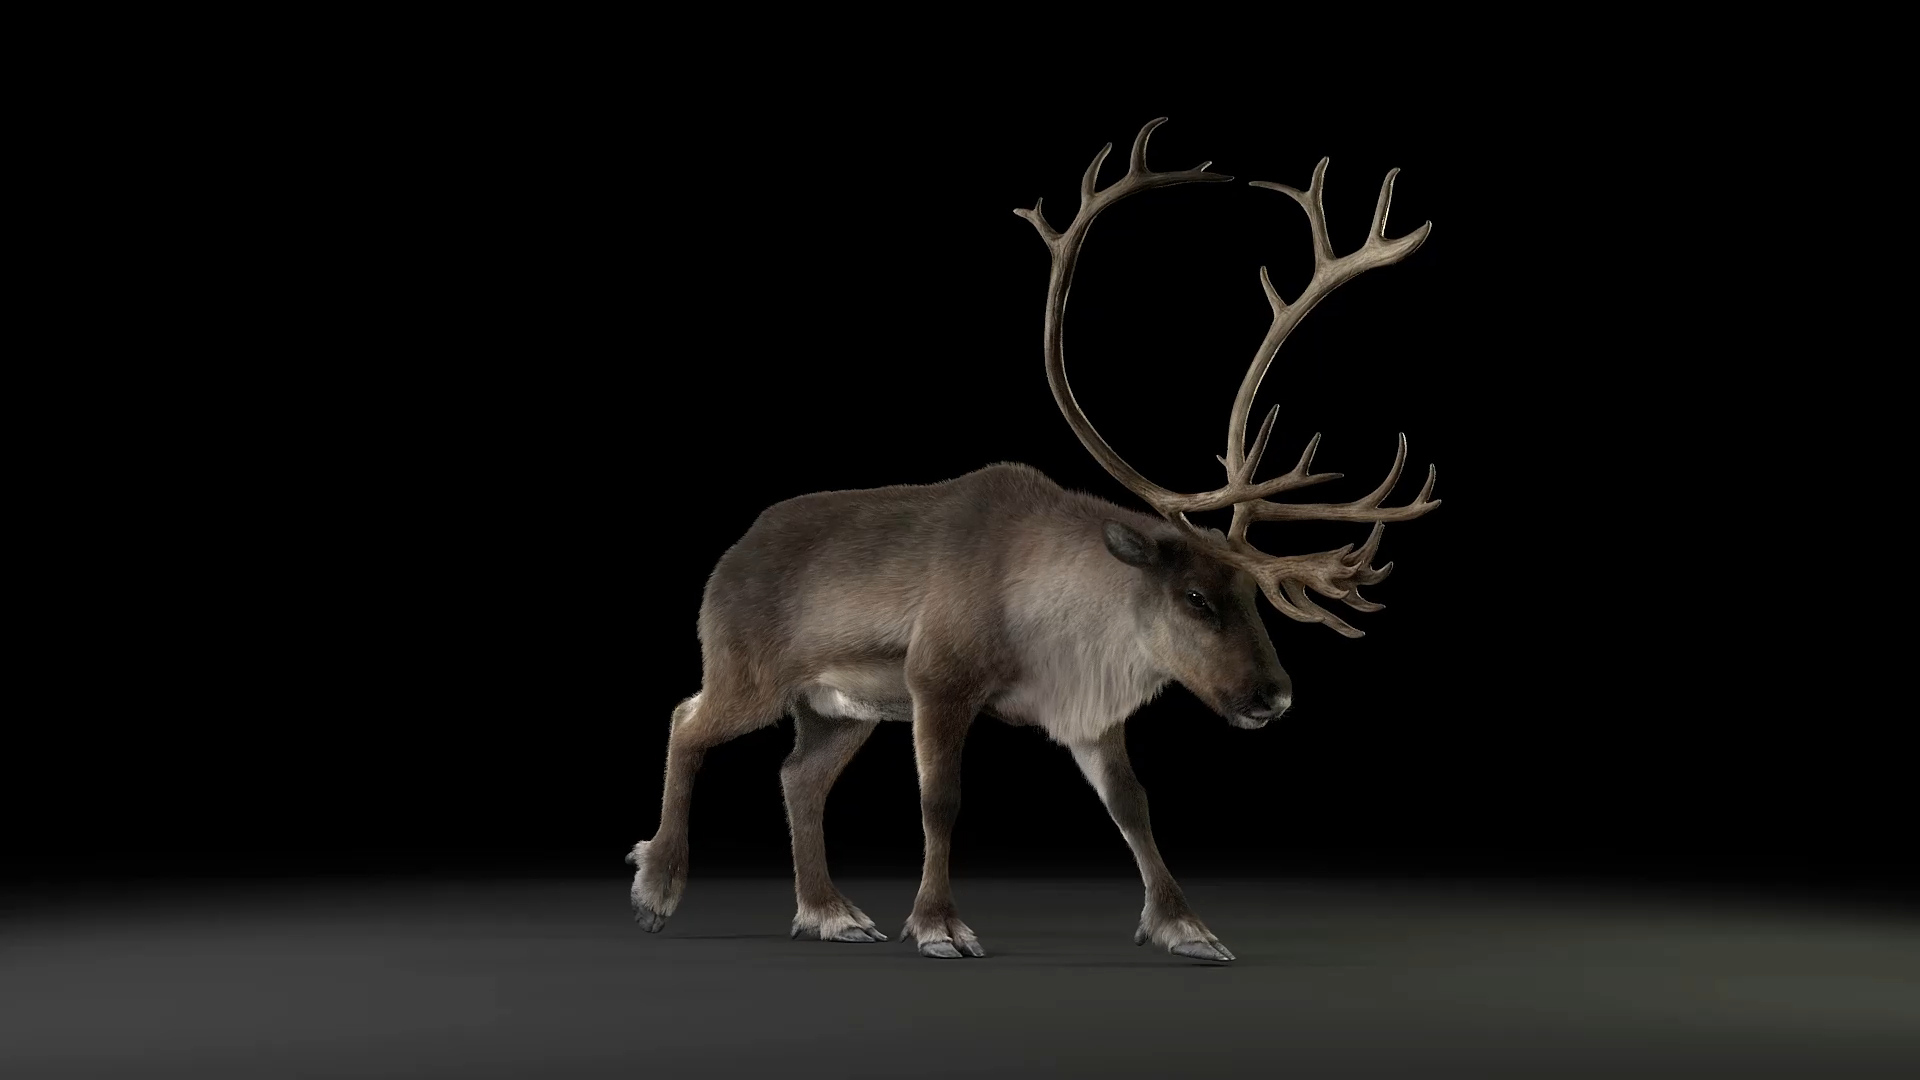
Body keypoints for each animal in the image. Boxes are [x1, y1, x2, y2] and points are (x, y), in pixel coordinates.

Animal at [627, 118, 1438, 961]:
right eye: (1193, 595)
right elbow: (941, 800)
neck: (1054, 614)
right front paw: (939, 924)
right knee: (687, 721)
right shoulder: (936, 678)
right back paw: (658, 887)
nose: (1273, 697)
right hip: (750, 671)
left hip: (841, 706)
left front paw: (1184, 926)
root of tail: (731, 556)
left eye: (1253, 594)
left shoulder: (1092, 711)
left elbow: (1134, 804)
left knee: (798, 776)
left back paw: (829, 912)